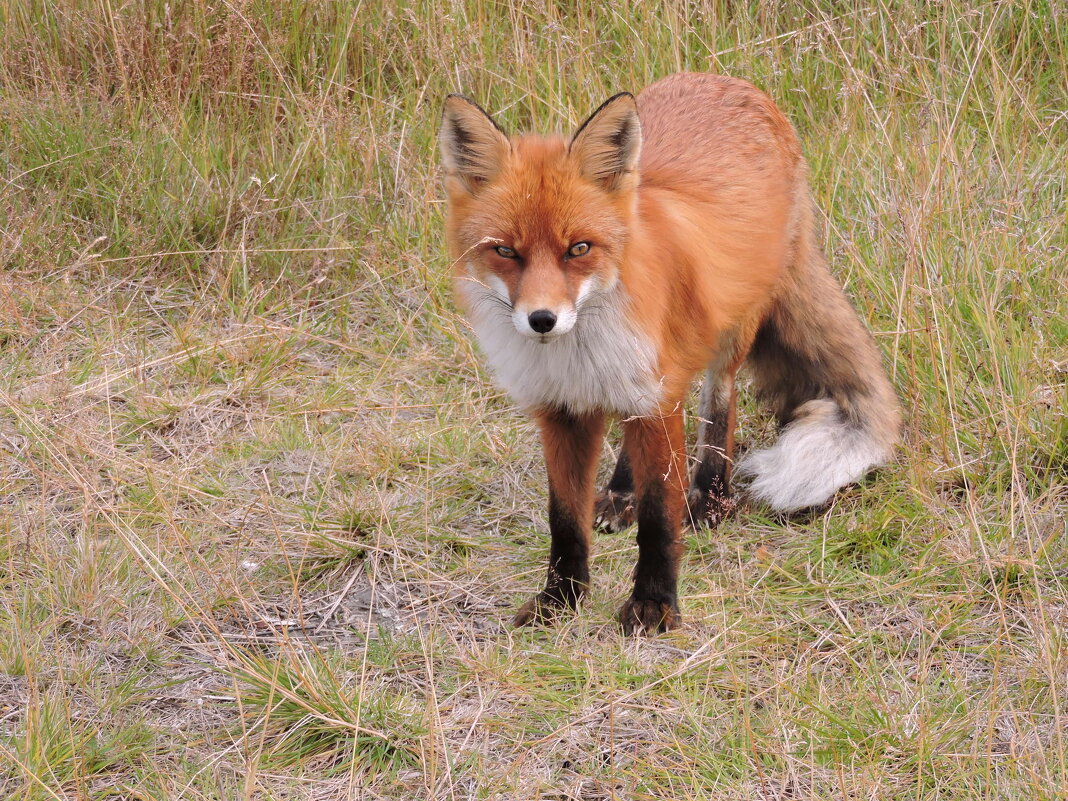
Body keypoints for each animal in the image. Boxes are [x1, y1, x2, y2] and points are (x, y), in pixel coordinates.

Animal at [437, 73, 897, 632]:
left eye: (579, 249)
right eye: (505, 251)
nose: (541, 319)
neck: (576, 354)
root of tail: (727, 79)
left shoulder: (656, 400)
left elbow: (659, 520)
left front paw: (654, 604)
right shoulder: (560, 410)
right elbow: (563, 520)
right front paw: (560, 599)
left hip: (729, 331)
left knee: (718, 404)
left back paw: (711, 495)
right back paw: (619, 494)